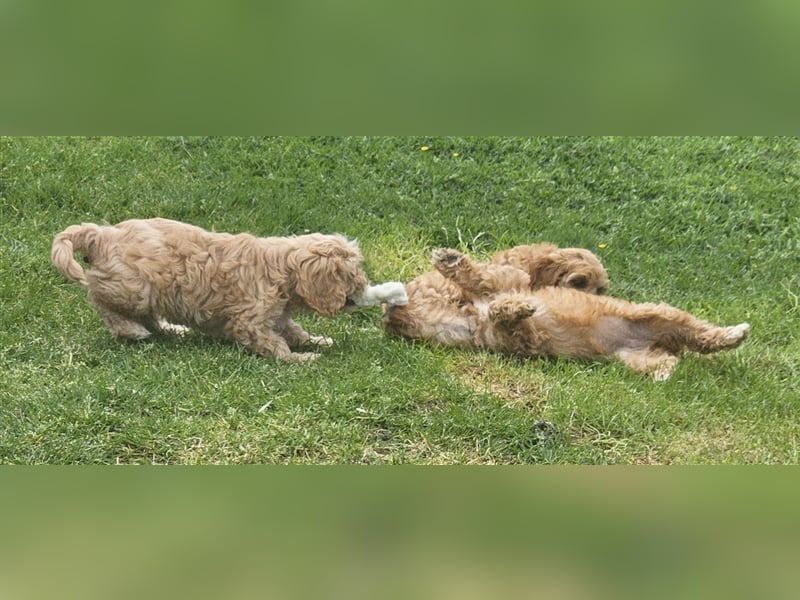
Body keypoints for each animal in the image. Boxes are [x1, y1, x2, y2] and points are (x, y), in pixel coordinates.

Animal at [51, 219, 406, 364]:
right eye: (351, 276)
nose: (360, 293)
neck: (281, 270)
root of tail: (101, 235)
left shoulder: (277, 316)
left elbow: (294, 330)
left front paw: (316, 341)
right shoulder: (249, 321)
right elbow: (274, 344)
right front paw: (301, 359)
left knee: (150, 317)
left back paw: (172, 330)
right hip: (131, 288)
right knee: (101, 301)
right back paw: (130, 330)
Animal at [428, 248, 748, 380]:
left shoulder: (508, 283)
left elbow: (480, 277)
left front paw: (449, 260)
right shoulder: (520, 333)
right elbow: (506, 313)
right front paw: (512, 308)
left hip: (657, 313)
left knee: (701, 332)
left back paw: (733, 334)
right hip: (635, 358)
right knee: (670, 359)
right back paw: (664, 373)